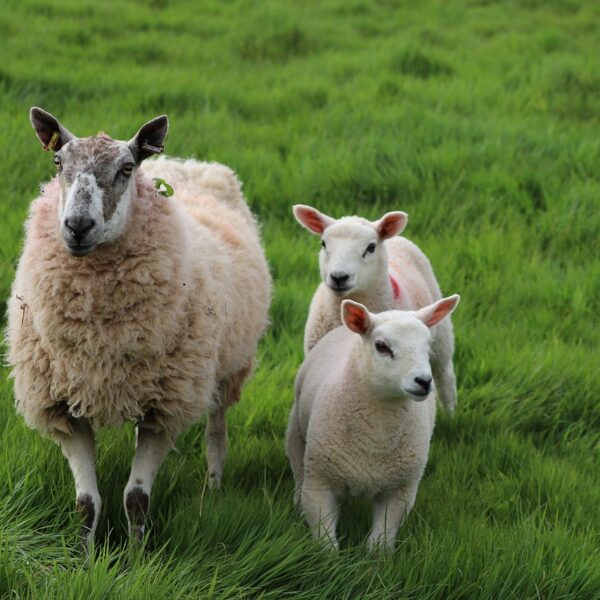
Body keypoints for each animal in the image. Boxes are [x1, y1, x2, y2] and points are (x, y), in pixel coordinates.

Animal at [5, 108, 270, 544]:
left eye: (126, 168)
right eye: (58, 162)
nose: (77, 226)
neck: (99, 337)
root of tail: (187, 163)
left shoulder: (165, 409)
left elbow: (136, 499)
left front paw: (136, 555)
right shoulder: (63, 408)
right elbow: (86, 503)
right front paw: (85, 555)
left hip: (227, 366)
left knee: (216, 431)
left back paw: (214, 488)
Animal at [292, 205, 458, 412]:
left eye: (371, 247)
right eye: (323, 243)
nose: (339, 277)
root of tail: (395, 238)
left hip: (441, 340)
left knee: (445, 376)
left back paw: (450, 413)